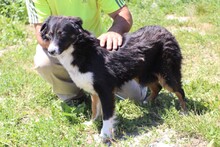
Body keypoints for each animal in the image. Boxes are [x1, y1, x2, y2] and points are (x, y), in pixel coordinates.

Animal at [40, 16, 186, 140]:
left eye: (62, 34)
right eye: (49, 35)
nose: (51, 51)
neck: (81, 50)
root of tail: (164, 30)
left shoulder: (106, 91)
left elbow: (107, 115)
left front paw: (104, 135)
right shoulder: (94, 91)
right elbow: (95, 110)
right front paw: (91, 123)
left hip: (167, 74)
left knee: (180, 91)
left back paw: (184, 111)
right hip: (143, 73)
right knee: (157, 87)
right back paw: (148, 102)